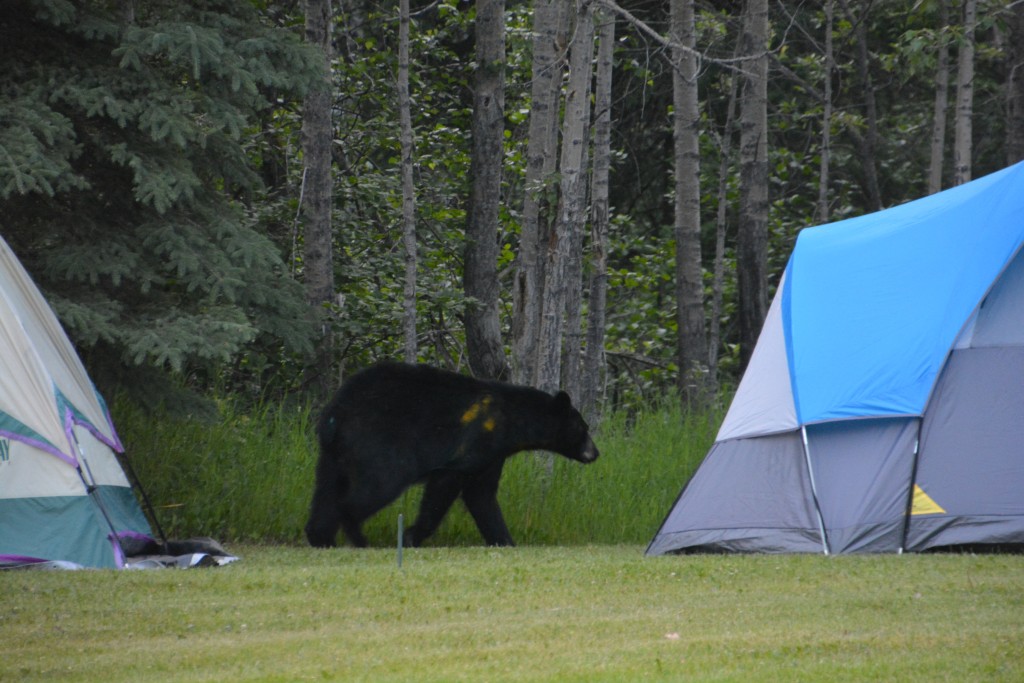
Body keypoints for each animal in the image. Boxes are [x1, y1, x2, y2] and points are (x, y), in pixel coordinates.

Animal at [303, 362, 598, 548]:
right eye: (583, 427)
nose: (595, 452)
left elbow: (482, 496)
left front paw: (505, 540)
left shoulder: (493, 453)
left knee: (326, 489)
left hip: (333, 453)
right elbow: (447, 484)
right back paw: (357, 535)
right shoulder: (478, 439)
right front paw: (411, 536)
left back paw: (321, 537)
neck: (514, 420)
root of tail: (335, 413)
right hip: (377, 442)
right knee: (378, 485)